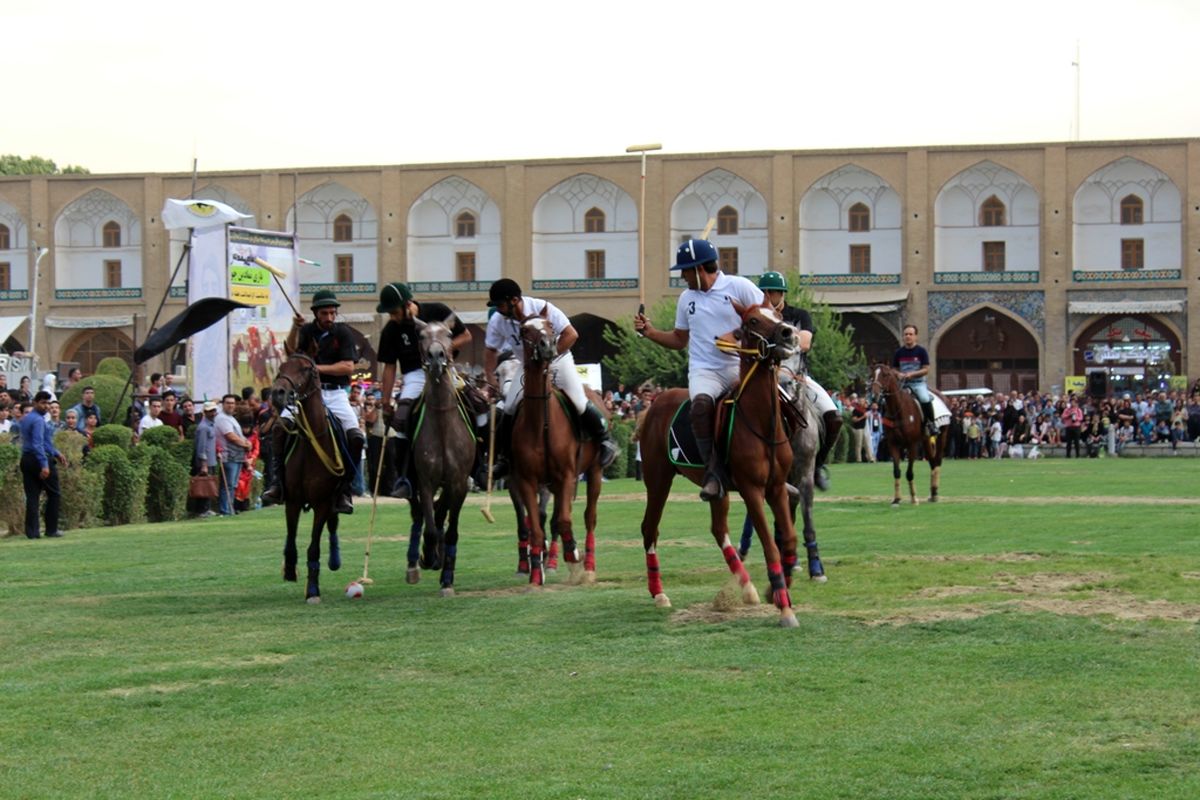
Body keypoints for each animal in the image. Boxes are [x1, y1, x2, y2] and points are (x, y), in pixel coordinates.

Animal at [271, 352, 345, 604]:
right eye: (282, 366)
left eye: (305, 369)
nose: (277, 393)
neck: (310, 441)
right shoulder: (292, 500)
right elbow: (292, 538)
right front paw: (289, 569)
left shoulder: (323, 502)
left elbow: (314, 547)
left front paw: (312, 590)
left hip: (333, 500)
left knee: (333, 523)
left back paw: (335, 560)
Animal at [403, 316, 477, 597]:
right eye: (422, 335)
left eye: (448, 334)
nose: (436, 357)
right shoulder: (425, 482)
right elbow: (431, 528)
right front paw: (429, 556)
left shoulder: (458, 482)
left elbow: (451, 528)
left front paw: (447, 578)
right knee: (420, 516)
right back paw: (416, 562)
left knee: (441, 512)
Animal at [508, 314, 604, 587]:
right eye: (524, 330)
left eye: (551, 325)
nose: (548, 346)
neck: (542, 423)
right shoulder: (526, 480)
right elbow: (536, 527)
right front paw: (535, 572)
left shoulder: (567, 475)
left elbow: (563, 519)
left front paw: (572, 552)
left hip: (594, 471)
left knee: (589, 516)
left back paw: (589, 567)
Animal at [638, 303, 806, 628]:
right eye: (753, 320)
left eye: (778, 315)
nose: (789, 333)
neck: (760, 421)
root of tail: (655, 402)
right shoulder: (752, 489)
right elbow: (770, 544)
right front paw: (785, 608)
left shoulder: (776, 487)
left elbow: (790, 538)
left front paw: (776, 592)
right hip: (658, 478)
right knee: (650, 528)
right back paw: (659, 593)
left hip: (717, 489)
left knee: (718, 528)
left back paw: (748, 587)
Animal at [868, 364, 950, 506]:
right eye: (873, 375)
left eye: (885, 375)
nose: (874, 396)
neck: (898, 409)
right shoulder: (893, 444)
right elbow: (896, 471)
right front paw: (896, 499)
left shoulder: (912, 445)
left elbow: (909, 472)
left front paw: (914, 498)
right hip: (926, 440)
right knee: (932, 462)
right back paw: (932, 493)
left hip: (942, 436)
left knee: (938, 461)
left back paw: (935, 493)